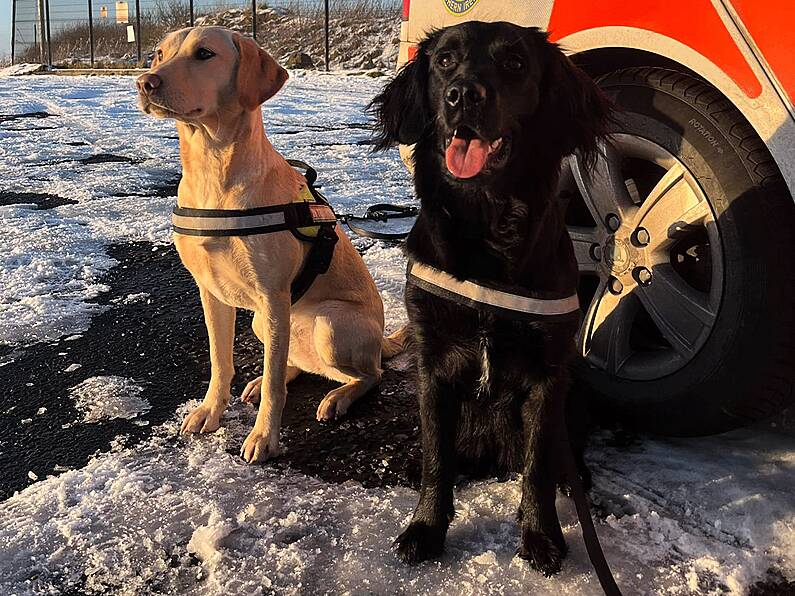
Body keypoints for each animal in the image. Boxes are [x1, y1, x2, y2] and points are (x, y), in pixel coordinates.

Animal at [370, 21, 612, 576]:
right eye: (444, 61)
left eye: (515, 63)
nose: (463, 95)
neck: (487, 221)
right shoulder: (431, 362)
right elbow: (436, 457)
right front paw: (426, 528)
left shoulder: (549, 374)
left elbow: (538, 465)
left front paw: (541, 536)